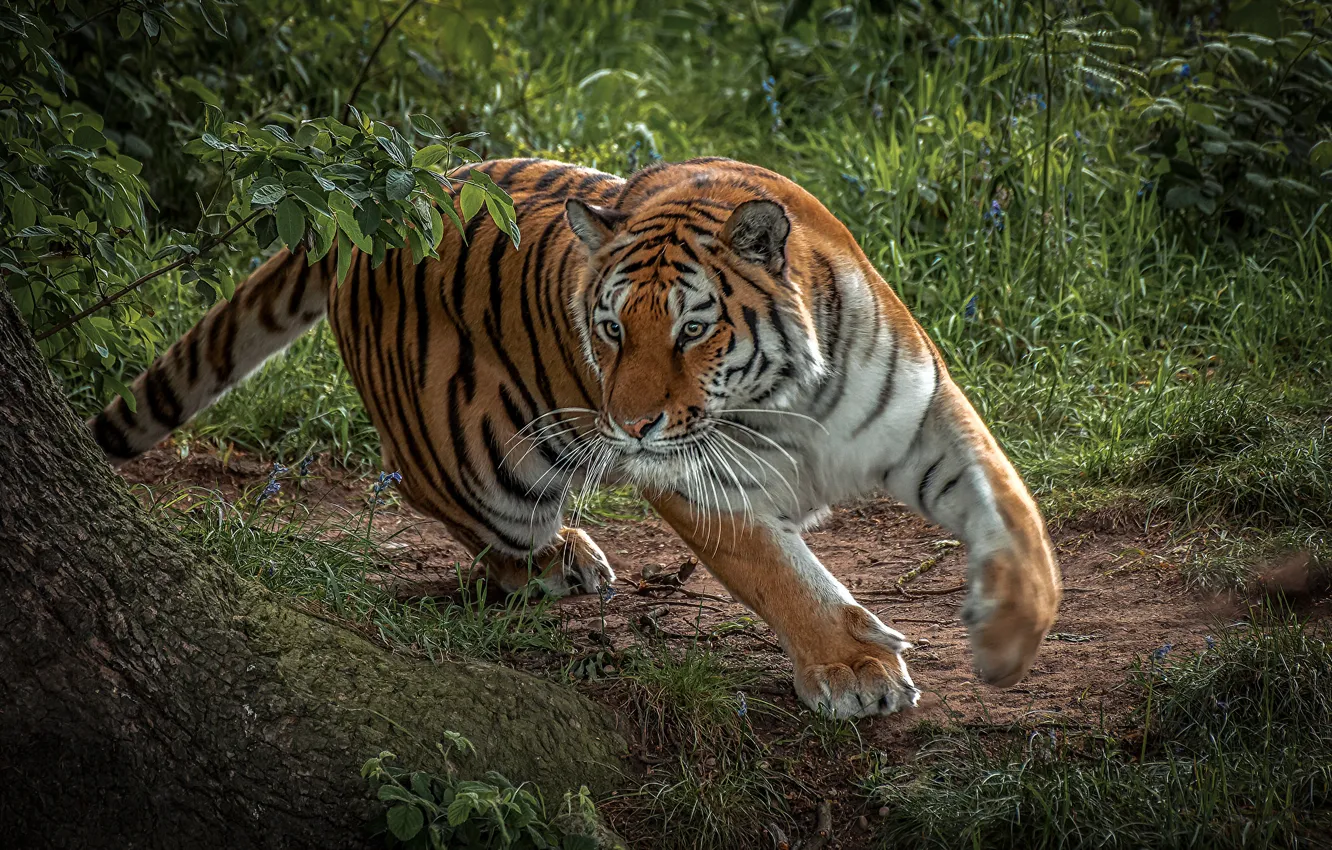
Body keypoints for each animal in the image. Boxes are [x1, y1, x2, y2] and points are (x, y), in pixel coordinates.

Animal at [89, 156, 1061, 717]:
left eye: (691, 330)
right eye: (609, 329)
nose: (626, 425)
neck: (789, 395)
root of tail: (370, 209)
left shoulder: (926, 412)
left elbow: (1011, 507)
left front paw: (1012, 629)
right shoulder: (697, 478)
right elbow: (779, 575)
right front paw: (855, 668)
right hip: (480, 467)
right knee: (452, 507)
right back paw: (556, 558)